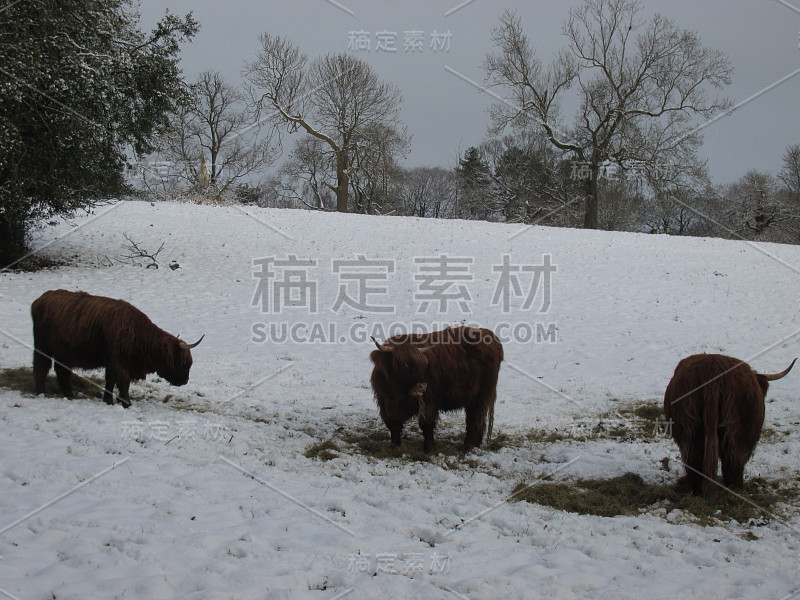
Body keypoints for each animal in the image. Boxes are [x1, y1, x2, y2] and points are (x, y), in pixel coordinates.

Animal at [31, 290, 205, 408]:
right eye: (182, 362)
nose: (184, 381)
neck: (138, 334)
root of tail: (41, 299)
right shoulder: (119, 362)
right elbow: (122, 382)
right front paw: (126, 403)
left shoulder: (111, 364)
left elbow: (110, 381)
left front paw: (108, 400)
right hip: (42, 347)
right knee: (41, 367)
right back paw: (40, 393)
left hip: (63, 354)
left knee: (62, 372)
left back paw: (69, 395)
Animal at [368, 326, 500, 452]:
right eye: (403, 365)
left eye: (423, 364)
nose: (422, 385)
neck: (398, 393)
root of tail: (491, 336)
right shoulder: (385, 403)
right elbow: (393, 425)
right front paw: (394, 446)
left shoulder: (428, 401)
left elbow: (426, 424)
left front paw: (429, 448)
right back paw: (476, 444)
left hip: (481, 397)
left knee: (475, 420)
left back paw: (466, 447)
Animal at [664, 354, 792, 494]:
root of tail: (712, 368)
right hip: (738, 433)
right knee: (733, 461)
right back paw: (735, 488)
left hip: (689, 432)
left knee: (694, 460)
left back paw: (698, 490)